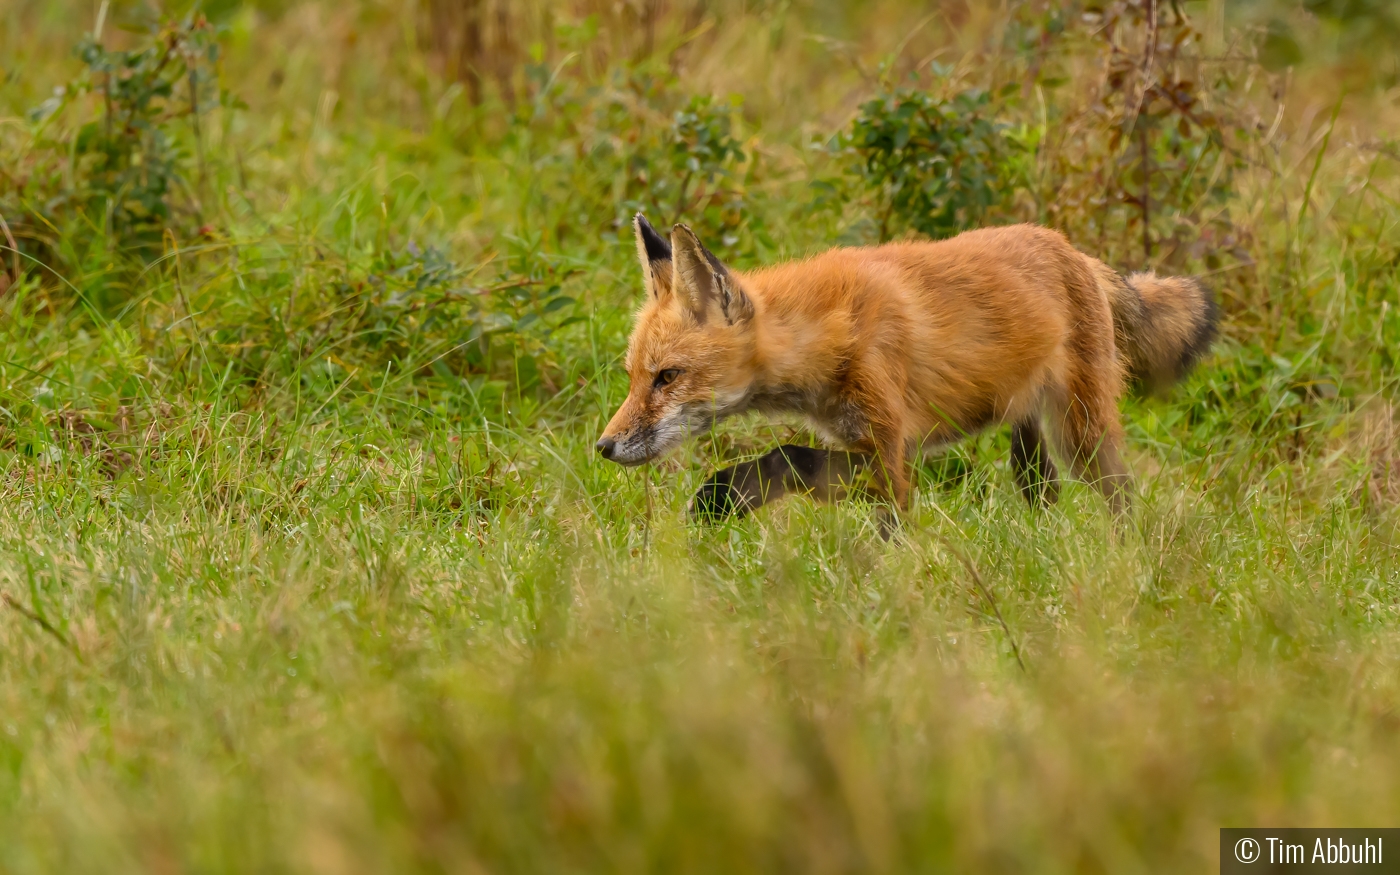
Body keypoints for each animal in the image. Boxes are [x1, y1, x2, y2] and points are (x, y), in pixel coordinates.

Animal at [596, 214, 1220, 520]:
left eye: (667, 377)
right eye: (633, 377)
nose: (602, 447)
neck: (828, 331)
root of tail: (1077, 252)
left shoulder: (889, 456)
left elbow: (796, 461)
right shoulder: (861, 445)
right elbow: (787, 459)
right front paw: (723, 500)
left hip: (1081, 435)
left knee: (1123, 497)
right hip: (1030, 438)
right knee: (1044, 497)